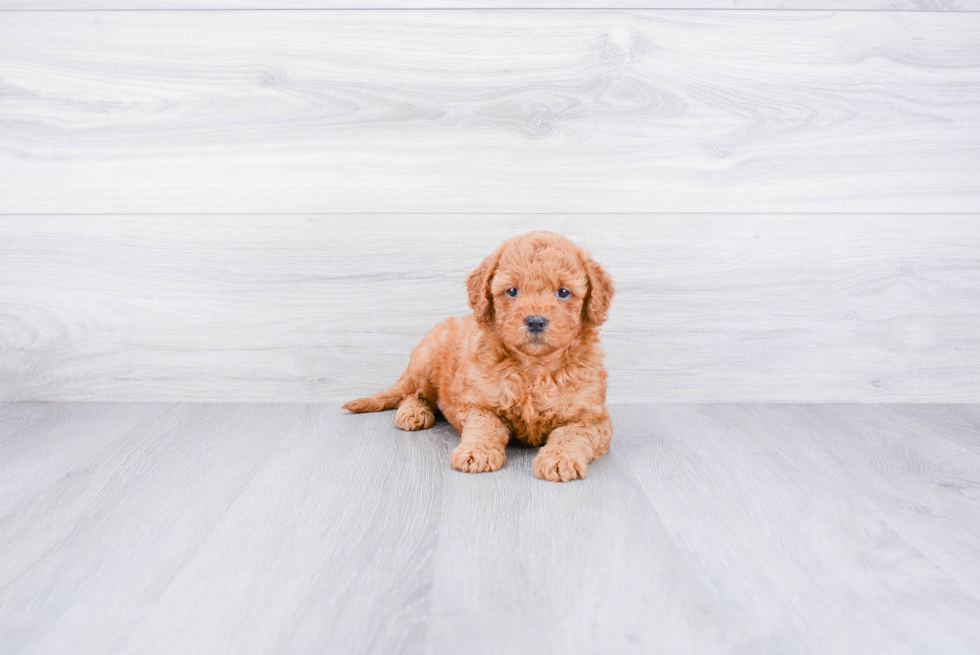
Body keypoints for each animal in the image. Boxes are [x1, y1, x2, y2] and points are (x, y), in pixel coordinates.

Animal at [342, 231, 612, 482]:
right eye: (512, 291)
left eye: (563, 292)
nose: (535, 321)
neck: (534, 367)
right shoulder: (478, 403)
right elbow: (485, 427)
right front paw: (477, 452)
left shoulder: (592, 418)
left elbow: (571, 435)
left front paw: (560, 459)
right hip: (428, 358)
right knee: (414, 393)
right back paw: (414, 412)